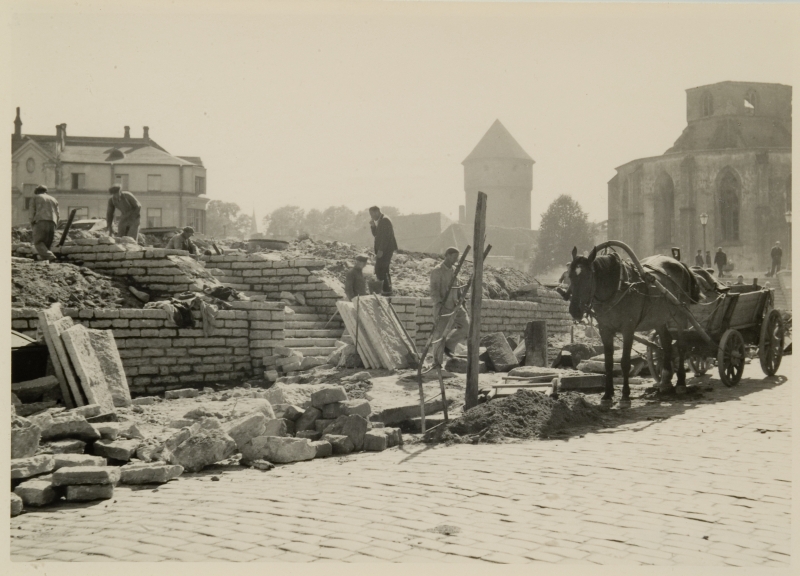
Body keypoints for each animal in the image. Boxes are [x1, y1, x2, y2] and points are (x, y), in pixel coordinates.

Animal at [564, 245, 700, 408]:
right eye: (570, 276)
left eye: (588, 277)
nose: (575, 310)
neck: (617, 287)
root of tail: (680, 264)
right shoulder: (605, 330)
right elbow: (608, 363)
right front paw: (607, 395)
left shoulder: (628, 329)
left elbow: (625, 362)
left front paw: (625, 396)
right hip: (659, 319)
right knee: (666, 343)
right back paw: (665, 382)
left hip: (681, 316)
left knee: (681, 347)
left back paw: (680, 383)